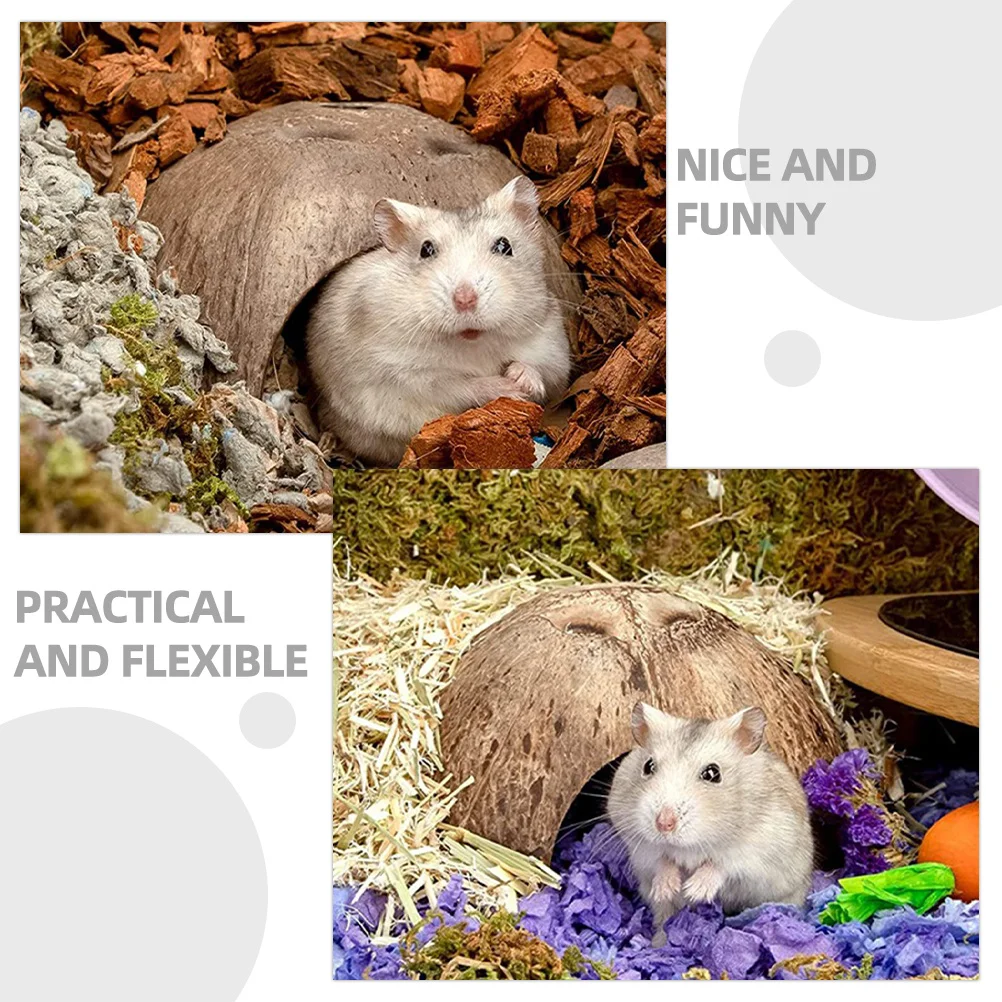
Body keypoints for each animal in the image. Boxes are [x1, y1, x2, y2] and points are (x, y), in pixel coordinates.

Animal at [305, 176, 571, 466]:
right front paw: (508, 388)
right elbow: (459, 386)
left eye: (504, 246)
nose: (465, 300)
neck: (472, 343)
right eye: (426, 249)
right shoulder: (407, 376)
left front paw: (521, 379)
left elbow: (544, 371)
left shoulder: (551, 345)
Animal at [607, 702, 814, 948]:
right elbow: (662, 858)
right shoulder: (639, 845)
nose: (663, 824)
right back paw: (659, 942)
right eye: (648, 766)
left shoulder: (759, 848)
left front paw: (694, 891)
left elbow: (721, 864)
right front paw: (668, 888)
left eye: (713, 773)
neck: (689, 847)